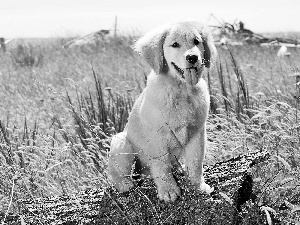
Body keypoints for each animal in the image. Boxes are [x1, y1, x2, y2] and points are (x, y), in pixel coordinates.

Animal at [108, 20, 216, 202]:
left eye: (196, 41)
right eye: (175, 44)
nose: (192, 57)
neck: (181, 90)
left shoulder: (197, 132)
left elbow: (196, 162)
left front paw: (198, 186)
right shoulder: (157, 136)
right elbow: (161, 166)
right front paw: (169, 191)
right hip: (121, 143)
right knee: (117, 172)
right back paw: (125, 184)